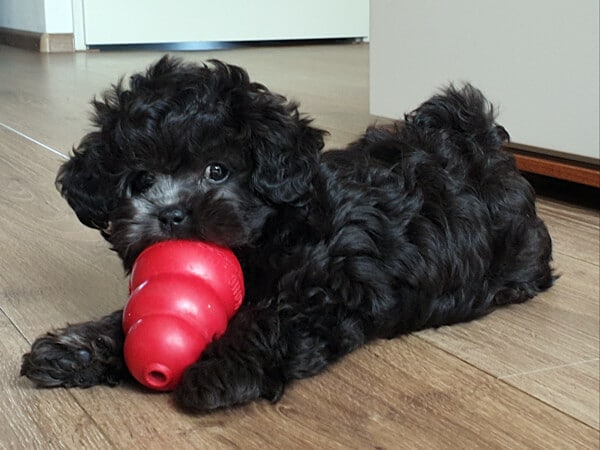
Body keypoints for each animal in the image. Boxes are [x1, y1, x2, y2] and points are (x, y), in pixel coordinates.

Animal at [21, 58, 556, 414]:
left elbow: (271, 320)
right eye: (140, 181)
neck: (266, 236)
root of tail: (480, 145)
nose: (172, 215)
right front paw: (78, 348)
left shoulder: (334, 288)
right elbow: (129, 314)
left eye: (218, 170)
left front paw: (222, 366)